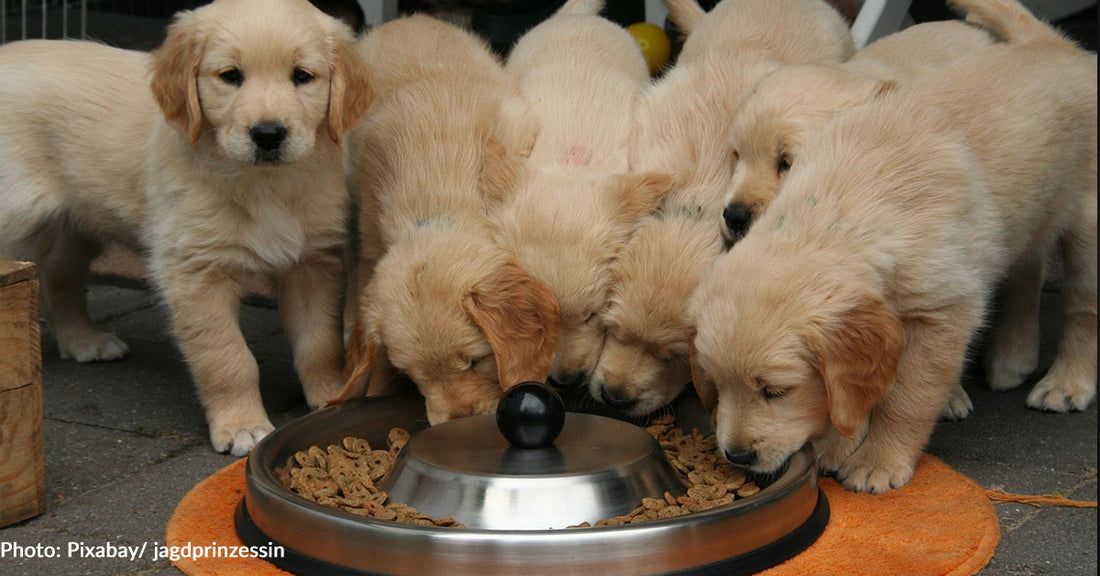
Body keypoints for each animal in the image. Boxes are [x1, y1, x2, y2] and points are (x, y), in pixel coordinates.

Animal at [0, 1, 374, 459]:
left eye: (302, 76)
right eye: (230, 75)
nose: (268, 134)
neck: (263, 184)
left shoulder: (313, 262)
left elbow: (318, 342)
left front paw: (331, 396)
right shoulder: (195, 272)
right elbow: (227, 358)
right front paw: (241, 424)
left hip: (75, 221)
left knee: (57, 274)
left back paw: (84, 340)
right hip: (20, 214)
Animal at [332, 15, 558, 424]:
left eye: (475, 361)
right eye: (412, 375)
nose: (458, 420)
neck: (436, 205)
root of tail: (407, 19)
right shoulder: (370, 237)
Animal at [690, 0, 1095, 494]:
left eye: (775, 391)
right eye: (716, 384)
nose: (737, 455)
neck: (840, 210)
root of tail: (1055, 44)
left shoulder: (942, 313)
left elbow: (907, 396)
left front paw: (878, 459)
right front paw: (839, 442)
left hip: (1087, 222)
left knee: (1083, 311)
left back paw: (1067, 382)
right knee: (1026, 269)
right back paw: (1013, 357)